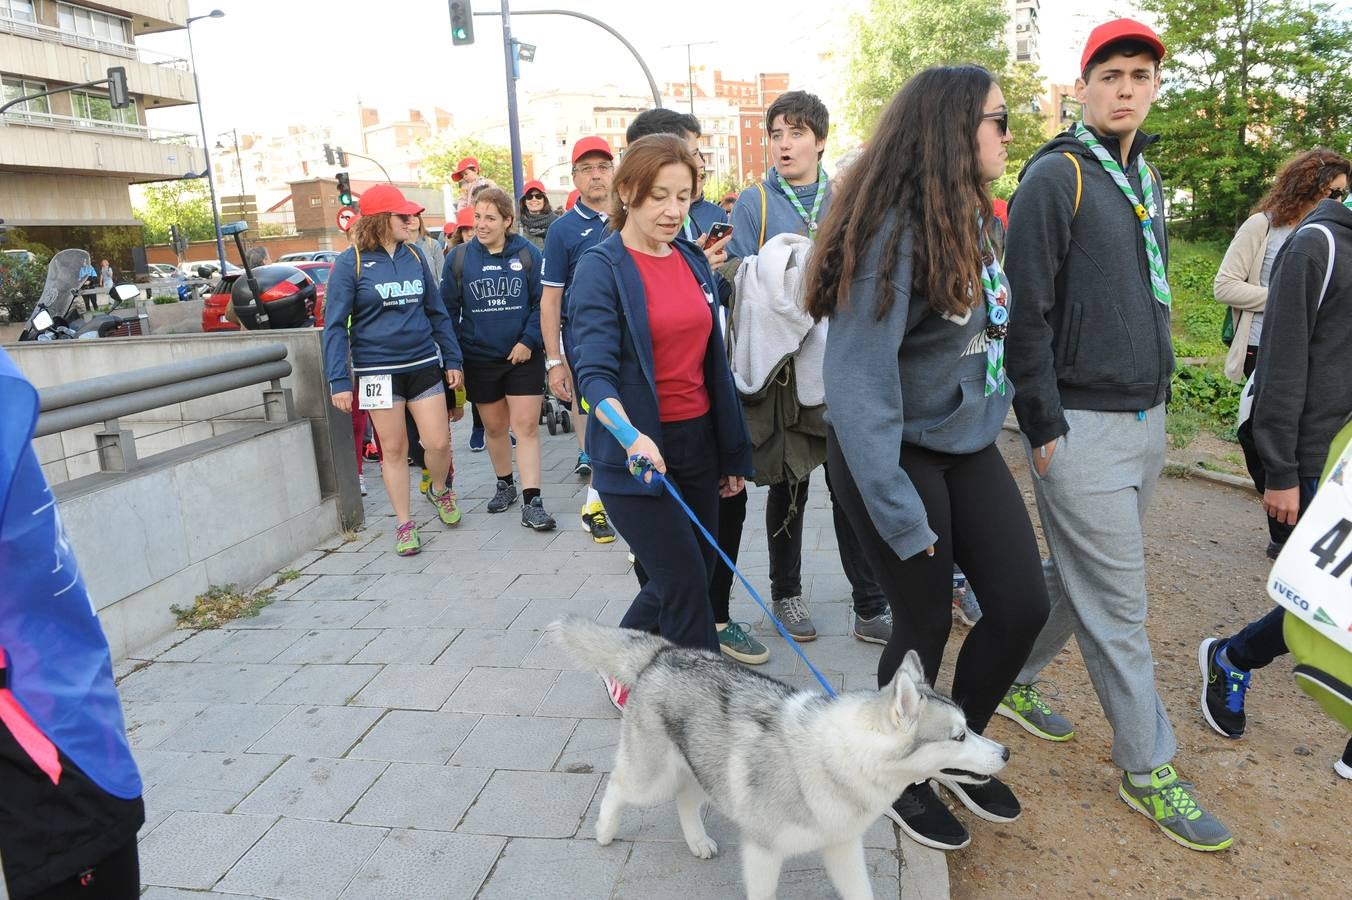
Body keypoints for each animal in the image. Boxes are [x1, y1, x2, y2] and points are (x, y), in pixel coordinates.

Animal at [554, 616, 1011, 897]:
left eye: (970, 727)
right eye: (958, 736)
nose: (1005, 752)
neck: (845, 760)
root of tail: (664, 654)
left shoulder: (842, 847)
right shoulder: (762, 853)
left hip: (708, 772)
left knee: (685, 801)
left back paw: (697, 841)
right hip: (653, 778)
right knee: (617, 786)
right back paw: (604, 831)